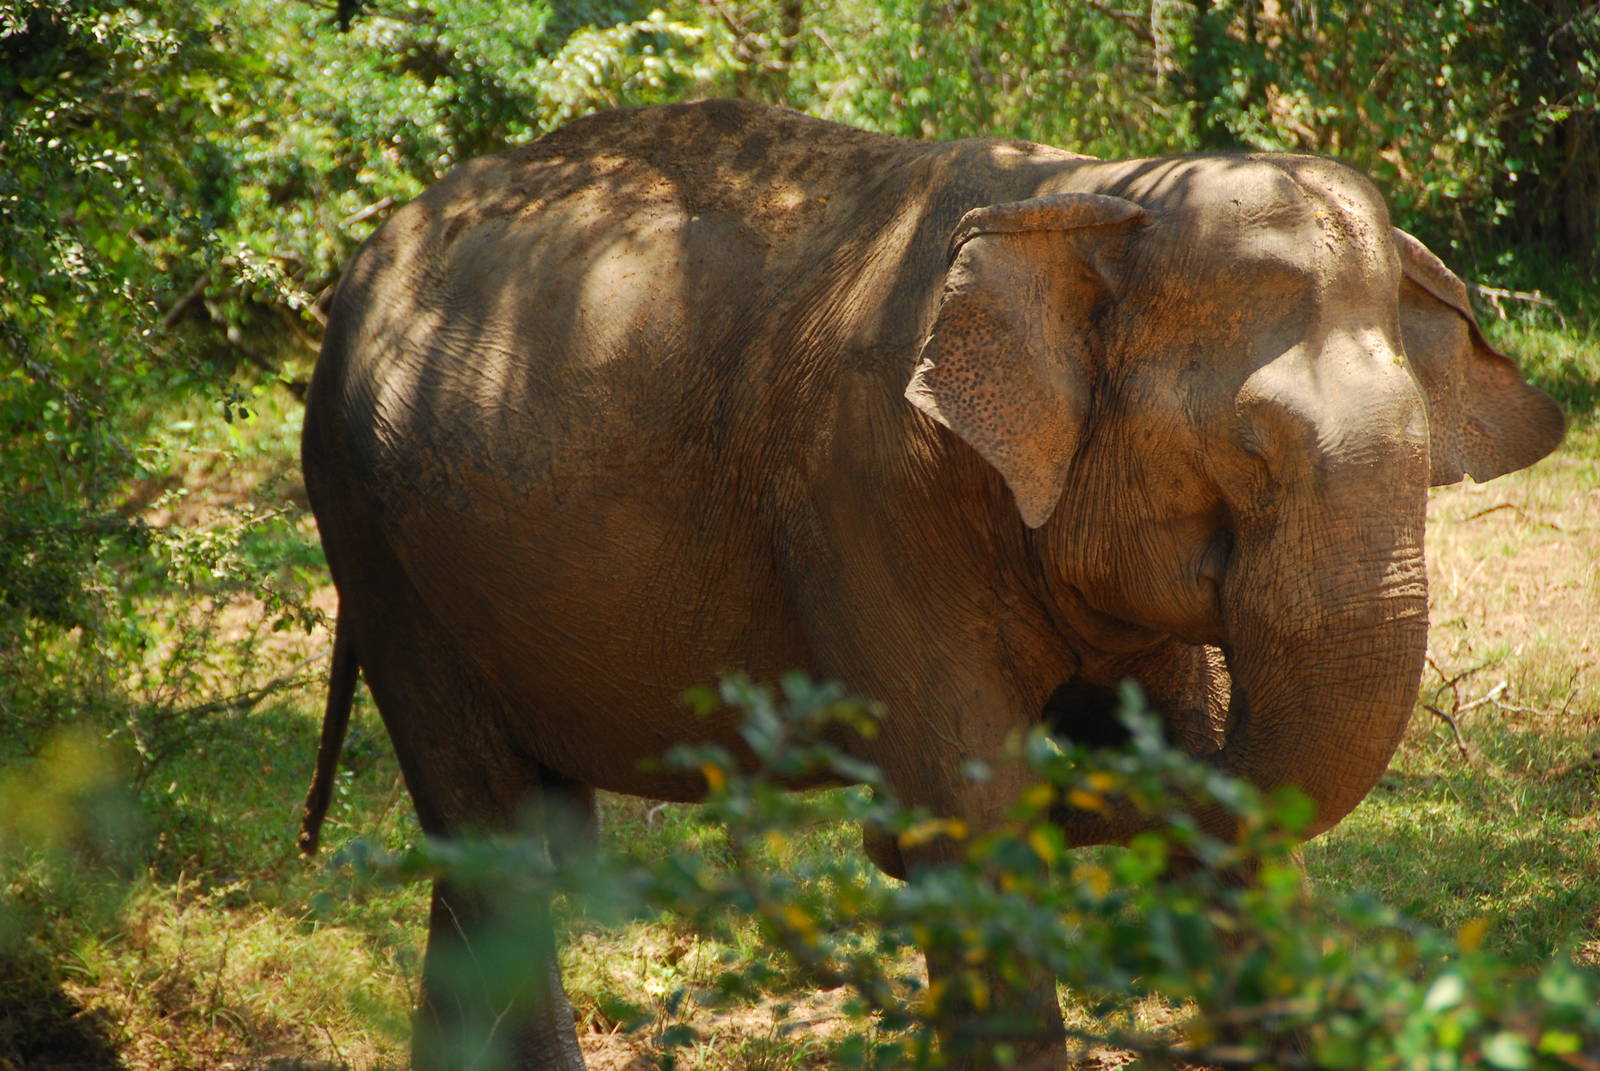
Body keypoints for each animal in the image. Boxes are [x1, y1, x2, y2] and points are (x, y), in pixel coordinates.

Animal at [296, 99, 1563, 1070]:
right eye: (1252, 456)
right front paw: (958, 823)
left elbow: (1222, 818)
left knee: (486, 852)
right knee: (491, 843)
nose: (874, 840)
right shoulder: (862, 495)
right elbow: (976, 824)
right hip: (370, 535)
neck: (1091, 196)